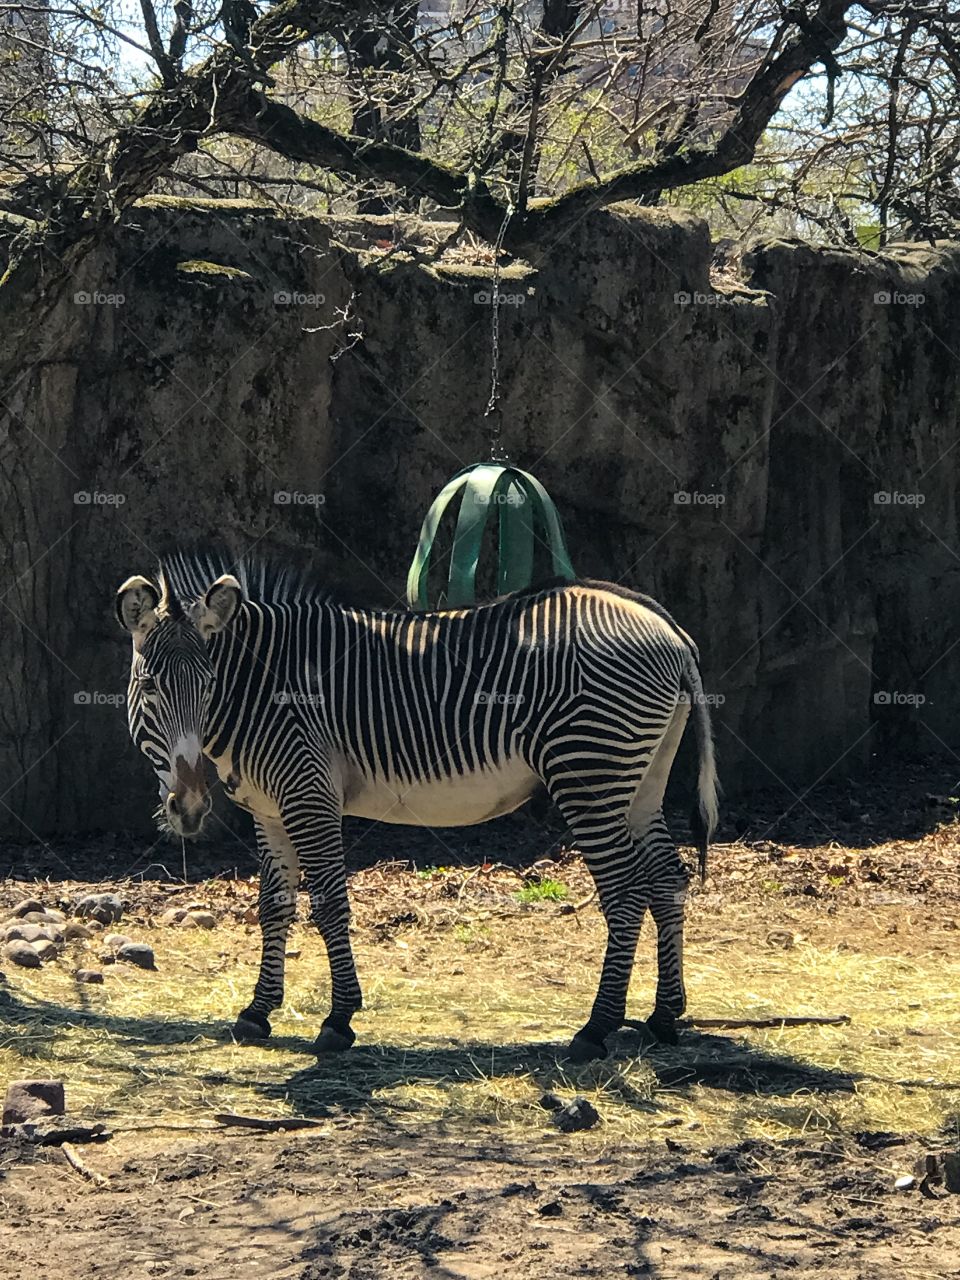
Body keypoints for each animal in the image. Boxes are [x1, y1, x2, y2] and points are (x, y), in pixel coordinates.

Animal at [116, 552, 718, 1061]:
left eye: (208, 685)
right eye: (149, 687)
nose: (191, 809)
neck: (260, 691)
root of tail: (668, 628)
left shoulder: (310, 795)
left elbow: (329, 905)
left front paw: (339, 1020)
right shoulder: (269, 810)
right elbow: (274, 908)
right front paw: (257, 1012)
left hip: (589, 771)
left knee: (626, 891)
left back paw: (596, 1028)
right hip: (641, 779)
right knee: (667, 878)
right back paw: (664, 1016)